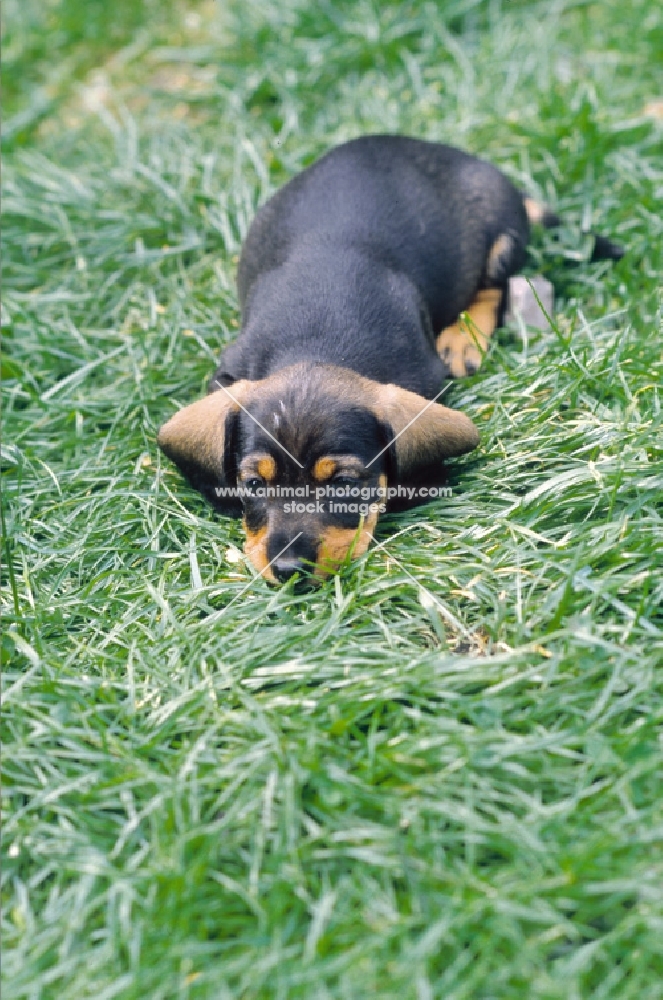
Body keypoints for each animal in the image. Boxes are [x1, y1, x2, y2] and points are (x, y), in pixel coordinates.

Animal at [157, 137, 624, 584]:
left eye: (345, 483)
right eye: (254, 483)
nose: (289, 570)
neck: (319, 340)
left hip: (501, 240)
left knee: (496, 287)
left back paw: (464, 339)